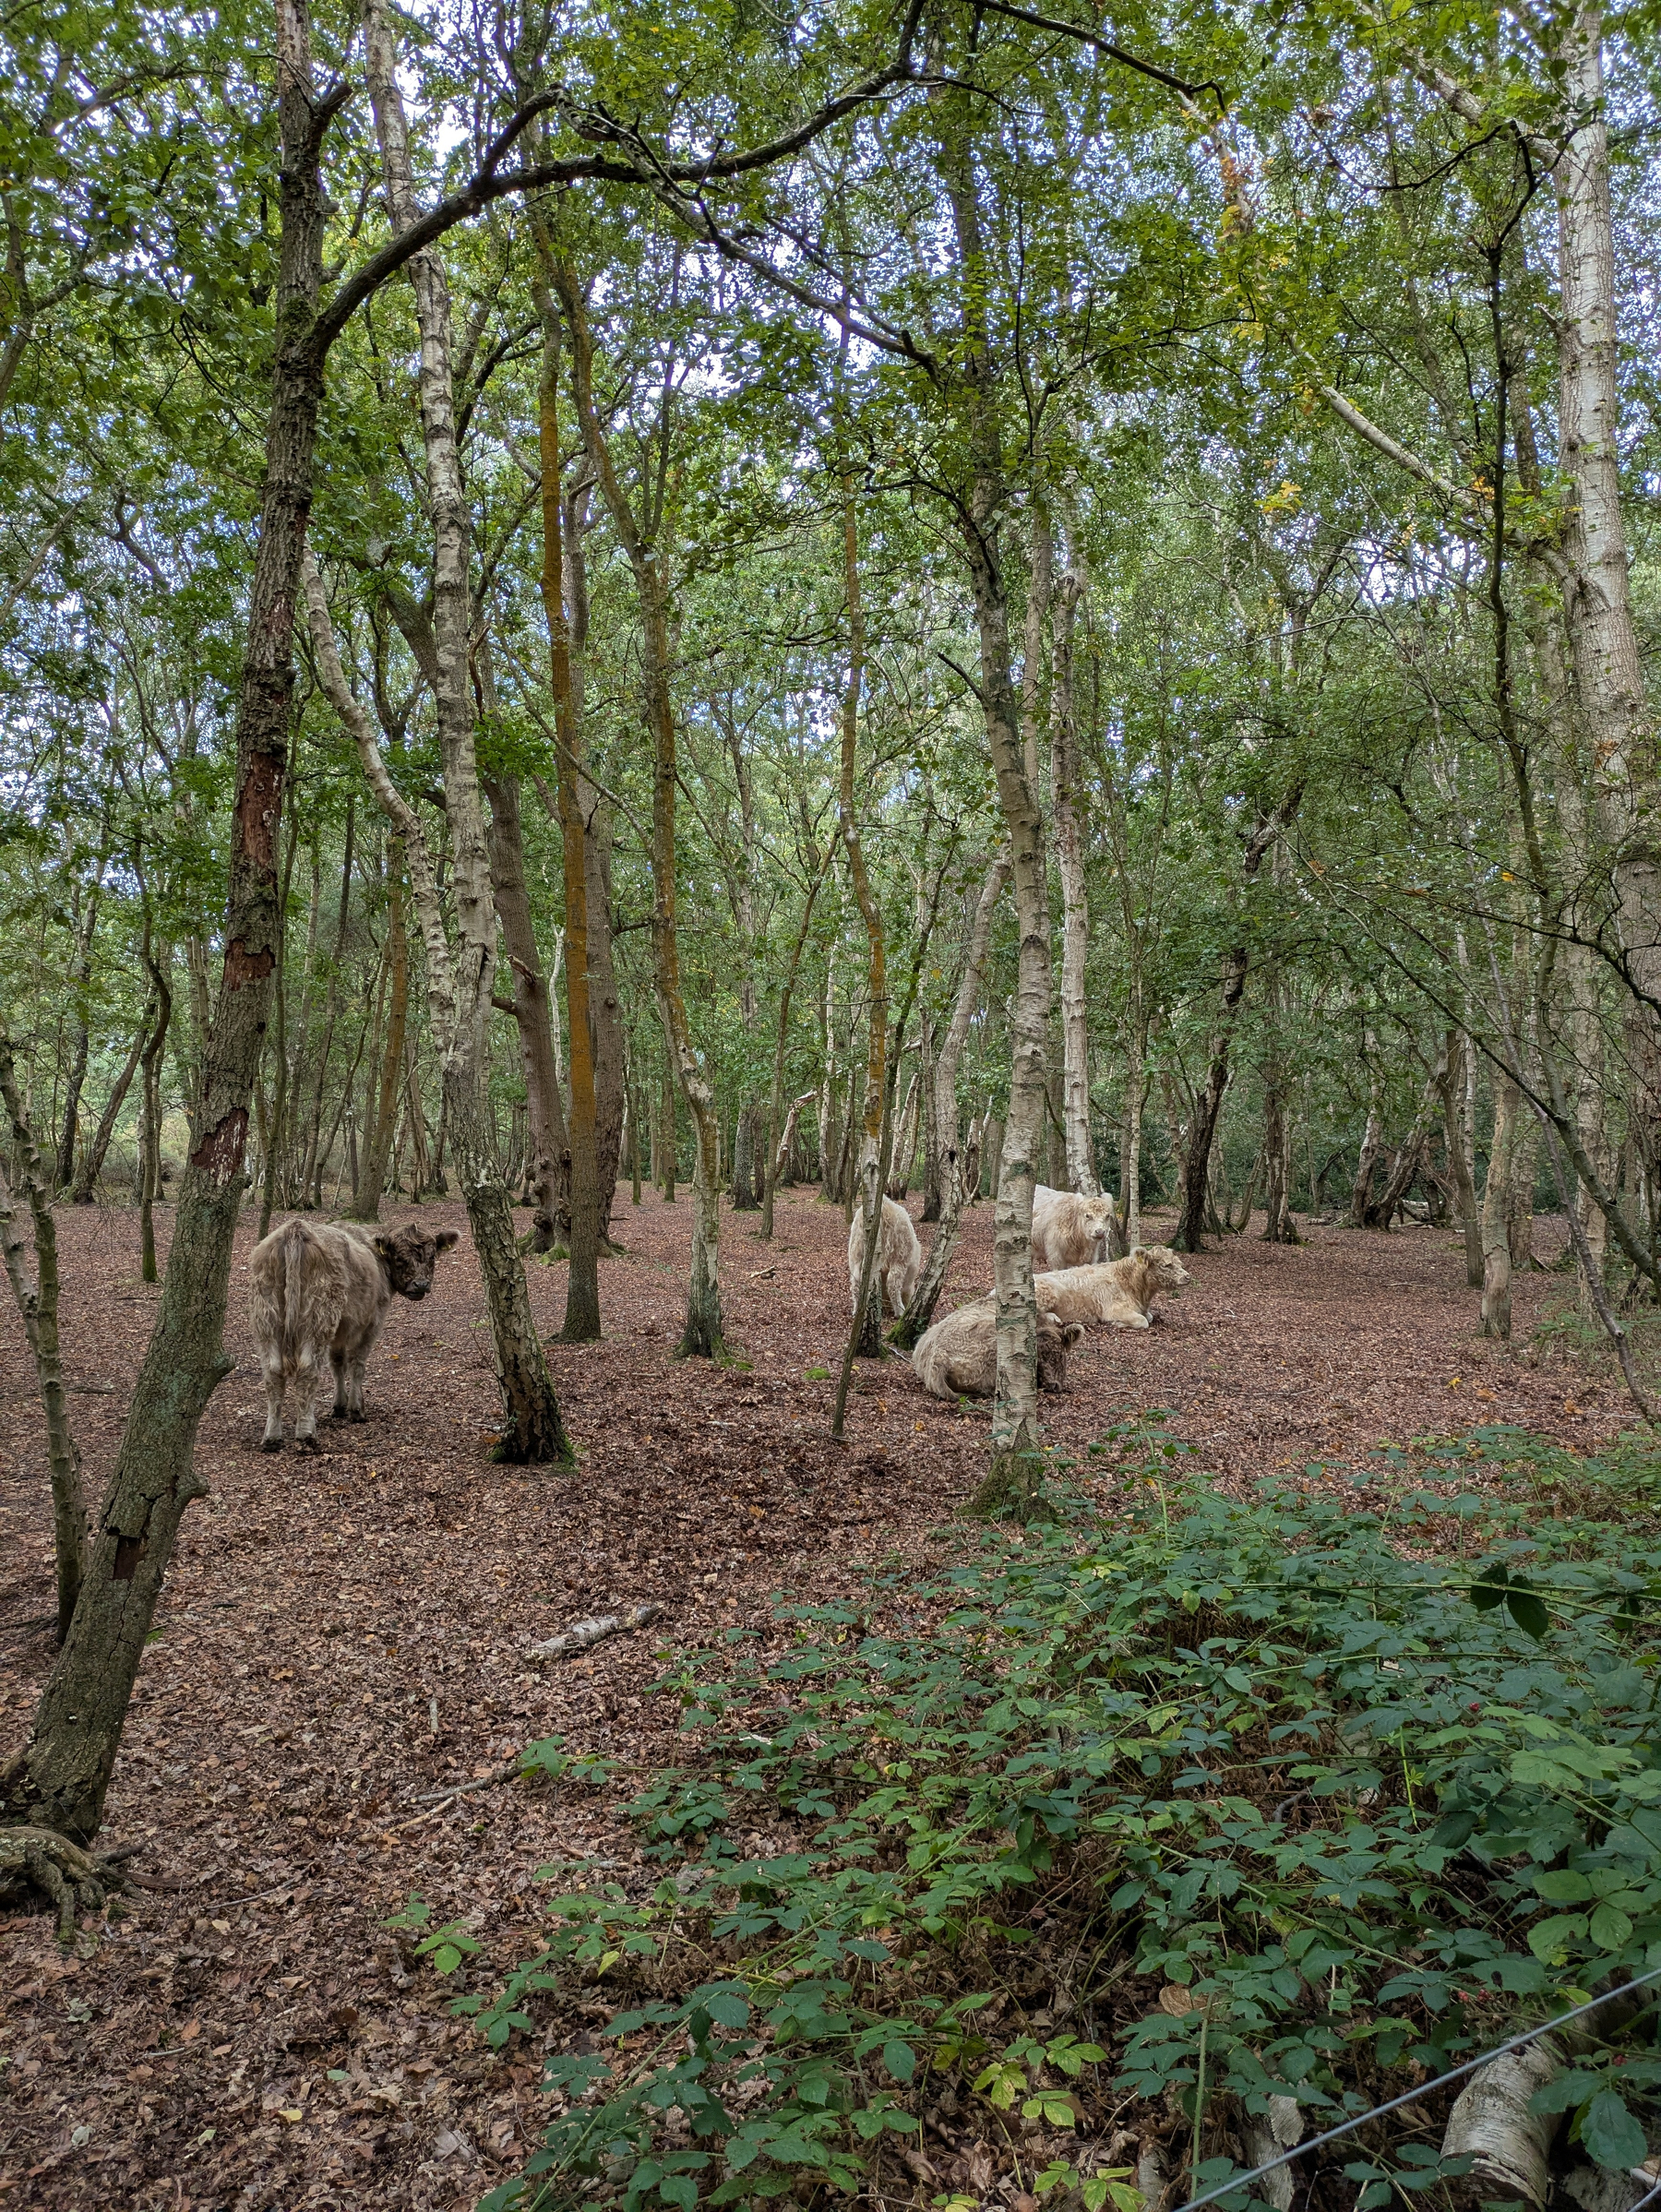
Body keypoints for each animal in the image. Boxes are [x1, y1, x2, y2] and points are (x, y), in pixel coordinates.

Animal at [249, 1217, 459, 1451]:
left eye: (431, 1257)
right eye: (399, 1257)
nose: (421, 1285)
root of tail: (295, 1228)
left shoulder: (341, 1328)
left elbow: (337, 1362)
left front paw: (339, 1405)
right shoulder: (372, 1322)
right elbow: (357, 1364)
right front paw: (356, 1409)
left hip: (267, 1317)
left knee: (273, 1373)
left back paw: (272, 1437)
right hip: (317, 1317)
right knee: (308, 1370)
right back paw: (306, 1433)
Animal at [847, 1194, 924, 1319]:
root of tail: (884, 1205)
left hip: (856, 1252)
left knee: (856, 1282)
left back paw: (856, 1310)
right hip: (899, 1254)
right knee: (893, 1283)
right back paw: (900, 1312)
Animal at [1033, 1245, 1191, 1331]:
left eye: (1179, 1263)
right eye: (1167, 1265)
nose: (1188, 1277)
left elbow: (1149, 1317)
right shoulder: (1114, 1310)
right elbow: (1143, 1321)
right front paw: (1119, 1323)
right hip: (1048, 1292)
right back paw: (1053, 1318)